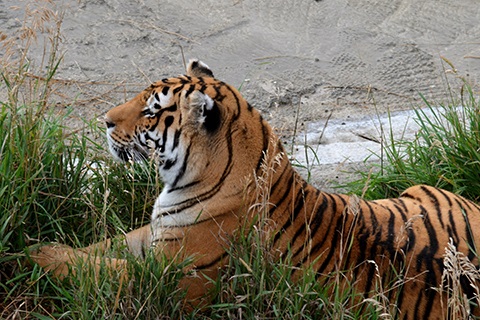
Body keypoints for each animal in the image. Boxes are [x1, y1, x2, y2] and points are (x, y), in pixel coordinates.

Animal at [31, 58, 480, 318]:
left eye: (151, 111)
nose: (105, 120)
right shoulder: (154, 235)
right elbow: (101, 249)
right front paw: (53, 245)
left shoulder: (169, 279)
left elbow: (98, 268)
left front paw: (34, 254)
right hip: (420, 190)